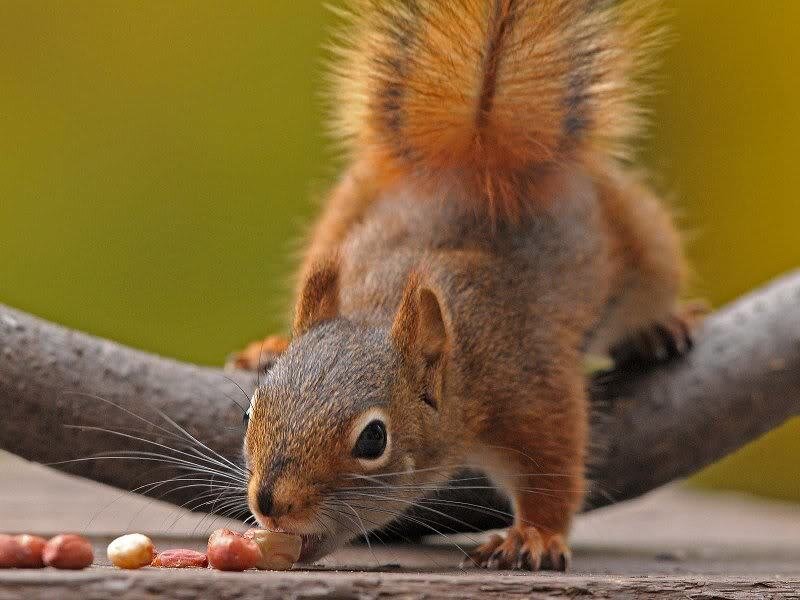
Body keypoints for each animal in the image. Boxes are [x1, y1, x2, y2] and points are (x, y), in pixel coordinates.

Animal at [232, 0, 703, 570]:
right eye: (249, 411)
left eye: (373, 440)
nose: (270, 504)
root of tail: (477, 162)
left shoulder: (531, 385)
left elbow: (555, 468)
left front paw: (535, 536)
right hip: (343, 207)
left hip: (646, 244)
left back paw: (663, 326)